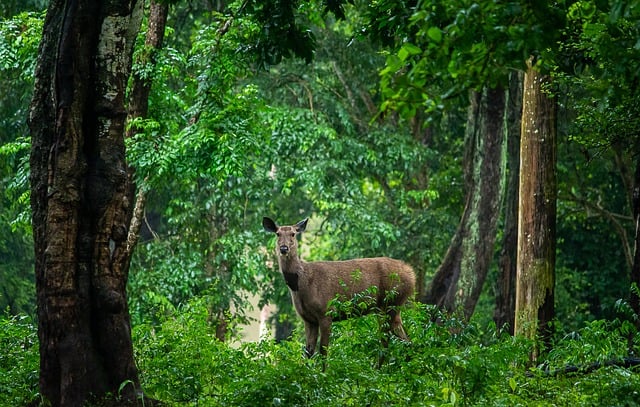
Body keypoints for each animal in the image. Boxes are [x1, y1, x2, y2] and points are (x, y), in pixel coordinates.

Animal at [262, 218, 418, 362]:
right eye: (277, 233)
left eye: (293, 234)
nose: (284, 248)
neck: (302, 284)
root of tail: (412, 274)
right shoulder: (309, 319)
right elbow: (308, 352)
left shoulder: (326, 312)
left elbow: (323, 350)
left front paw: (322, 373)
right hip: (385, 308)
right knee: (399, 340)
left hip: (392, 302)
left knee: (393, 340)